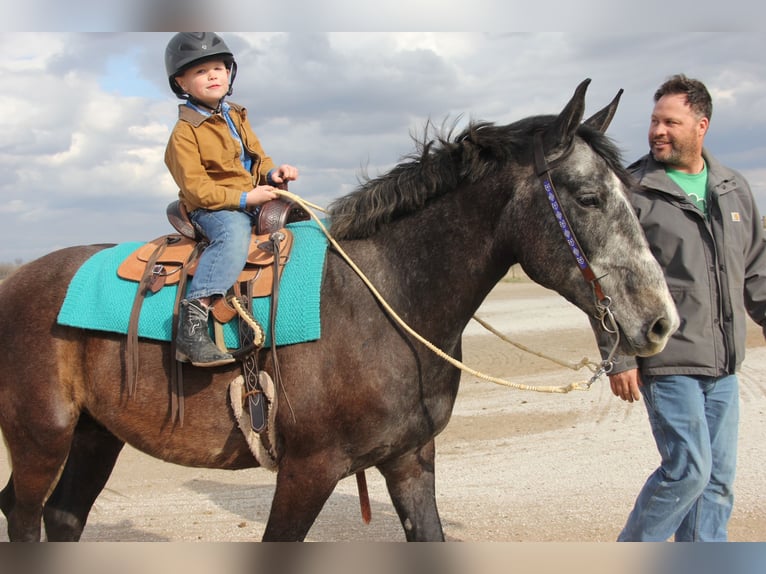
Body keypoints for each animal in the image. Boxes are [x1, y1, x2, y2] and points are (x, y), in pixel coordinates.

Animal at [0, 79, 678, 542]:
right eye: (588, 198)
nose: (660, 321)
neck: (386, 301)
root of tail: (16, 284)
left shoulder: (410, 461)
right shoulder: (307, 472)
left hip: (95, 436)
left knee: (62, 517)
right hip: (41, 438)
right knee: (25, 514)